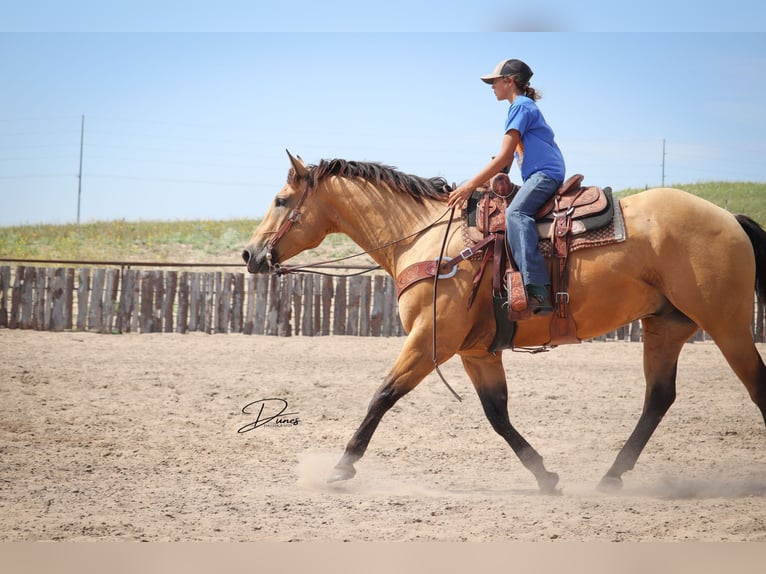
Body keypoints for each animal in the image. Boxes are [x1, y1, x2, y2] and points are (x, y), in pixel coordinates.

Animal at [244, 153, 766, 496]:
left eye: (281, 199)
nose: (250, 254)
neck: (430, 240)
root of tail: (728, 217)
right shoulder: (477, 351)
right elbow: (497, 414)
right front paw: (545, 475)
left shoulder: (430, 340)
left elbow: (383, 395)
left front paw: (341, 468)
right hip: (665, 328)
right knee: (658, 398)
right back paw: (611, 476)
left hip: (727, 326)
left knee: (755, 385)